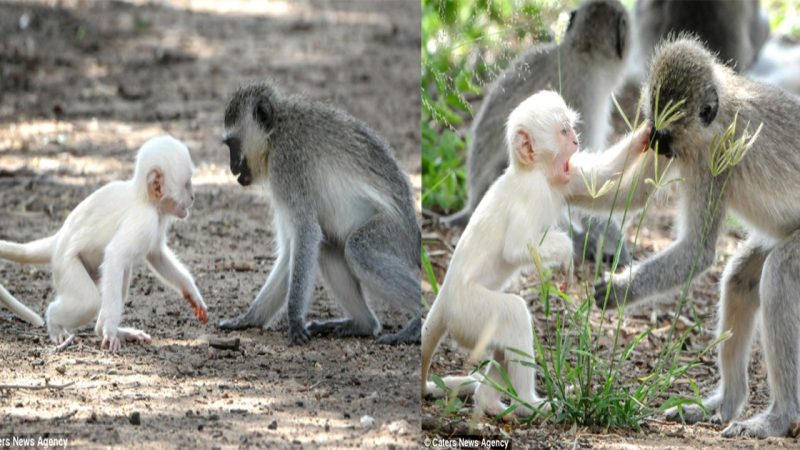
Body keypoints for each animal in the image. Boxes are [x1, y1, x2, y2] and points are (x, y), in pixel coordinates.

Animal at [0, 134, 209, 352]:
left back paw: (109, 331)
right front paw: (109, 331)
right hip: (65, 264)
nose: (192, 197)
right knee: (88, 302)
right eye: (187, 184)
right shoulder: (144, 220)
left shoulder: (157, 220)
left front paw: (192, 294)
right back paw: (57, 322)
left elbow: (156, 255)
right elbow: (115, 256)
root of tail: (59, 238)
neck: (144, 199)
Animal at [216, 82, 422, 346]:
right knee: (328, 248)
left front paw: (294, 318)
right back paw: (362, 324)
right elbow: (291, 248)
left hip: (395, 234)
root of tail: (414, 232)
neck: (276, 131)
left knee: (358, 250)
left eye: (232, 144)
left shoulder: (287, 163)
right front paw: (249, 318)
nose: (232, 168)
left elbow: (306, 232)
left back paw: (417, 323)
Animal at [418, 91, 648, 418]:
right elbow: (515, 248)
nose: (575, 140)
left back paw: (489, 401)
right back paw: (529, 403)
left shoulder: (563, 179)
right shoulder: (532, 191)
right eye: (563, 131)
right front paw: (566, 254)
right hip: (467, 313)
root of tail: (444, 298)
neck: (533, 170)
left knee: (501, 343)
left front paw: (647, 134)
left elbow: (600, 180)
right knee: (512, 314)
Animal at [596, 36, 800, 440]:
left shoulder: (714, 159)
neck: (723, 113)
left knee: (781, 276)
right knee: (740, 278)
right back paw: (725, 406)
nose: (653, 143)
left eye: (665, 134)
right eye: (653, 127)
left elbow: (697, 252)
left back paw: (779, 418)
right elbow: (625, 194)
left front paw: (620, 290)